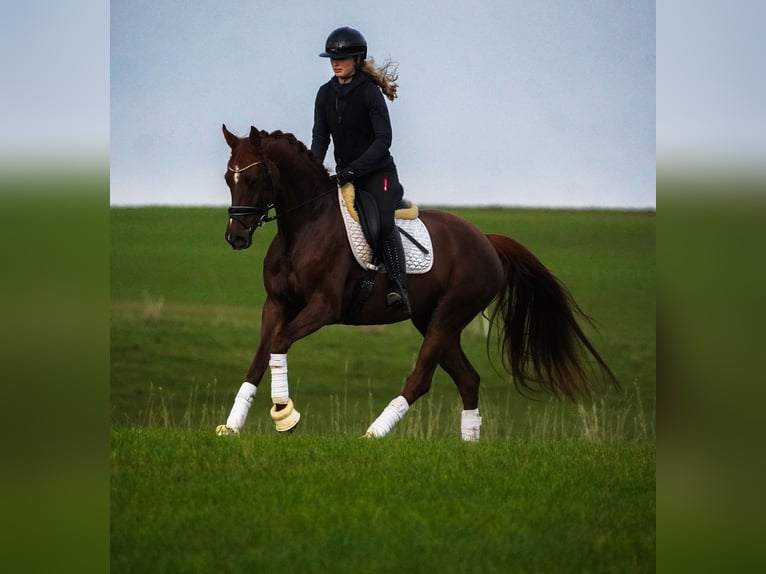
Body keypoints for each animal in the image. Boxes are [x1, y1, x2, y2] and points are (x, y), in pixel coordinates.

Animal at [216, 125, 618, 440]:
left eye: (251, 179)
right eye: (227, 178)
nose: (236, 237)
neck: (304, 226)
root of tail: (486, 240)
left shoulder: (323, 308)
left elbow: (279, 344)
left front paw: (285, 415)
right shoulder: (276, 305)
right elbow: (260, 357)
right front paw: (232, 425)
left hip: (448, 316)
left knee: (422, 379)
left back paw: (373, 434)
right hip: (433, 321)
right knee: (468, 379)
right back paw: (468, 447)